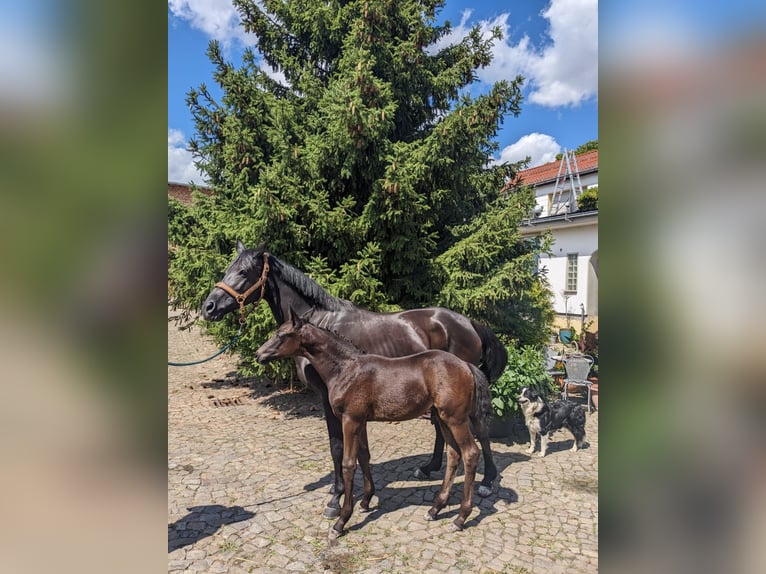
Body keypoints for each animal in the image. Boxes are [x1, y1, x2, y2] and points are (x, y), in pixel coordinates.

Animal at [255, 310, 496, 540]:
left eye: (281, 334)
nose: (259, 354)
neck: (346, 369)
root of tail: (466, 365)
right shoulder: (361, 421)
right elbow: (364, 456)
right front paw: (365, 501)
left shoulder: (350, 419)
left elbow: (348, 464)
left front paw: (341, 520)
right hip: (443, 417)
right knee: (454, 453)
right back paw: (435, 508)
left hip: (456, 418)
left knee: (470, 453)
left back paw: (461, 517)